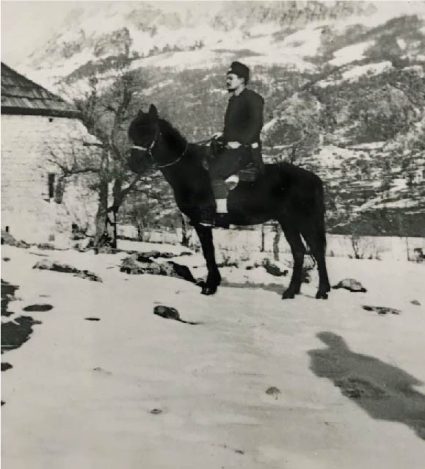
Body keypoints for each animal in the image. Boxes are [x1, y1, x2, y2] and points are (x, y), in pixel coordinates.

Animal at [127, 104, 330, 298]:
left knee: (317, 250)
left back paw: (321, 292)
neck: (190, 170)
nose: (134, 164)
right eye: (132, 132)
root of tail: (313, 178)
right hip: (288, 222)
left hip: (305, 221)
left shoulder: (202, 222)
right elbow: (208, 253)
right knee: (299, 251)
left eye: (149, 131)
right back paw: (292, 291)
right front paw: (213, 283)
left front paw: (210, 286)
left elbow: (209, 252)